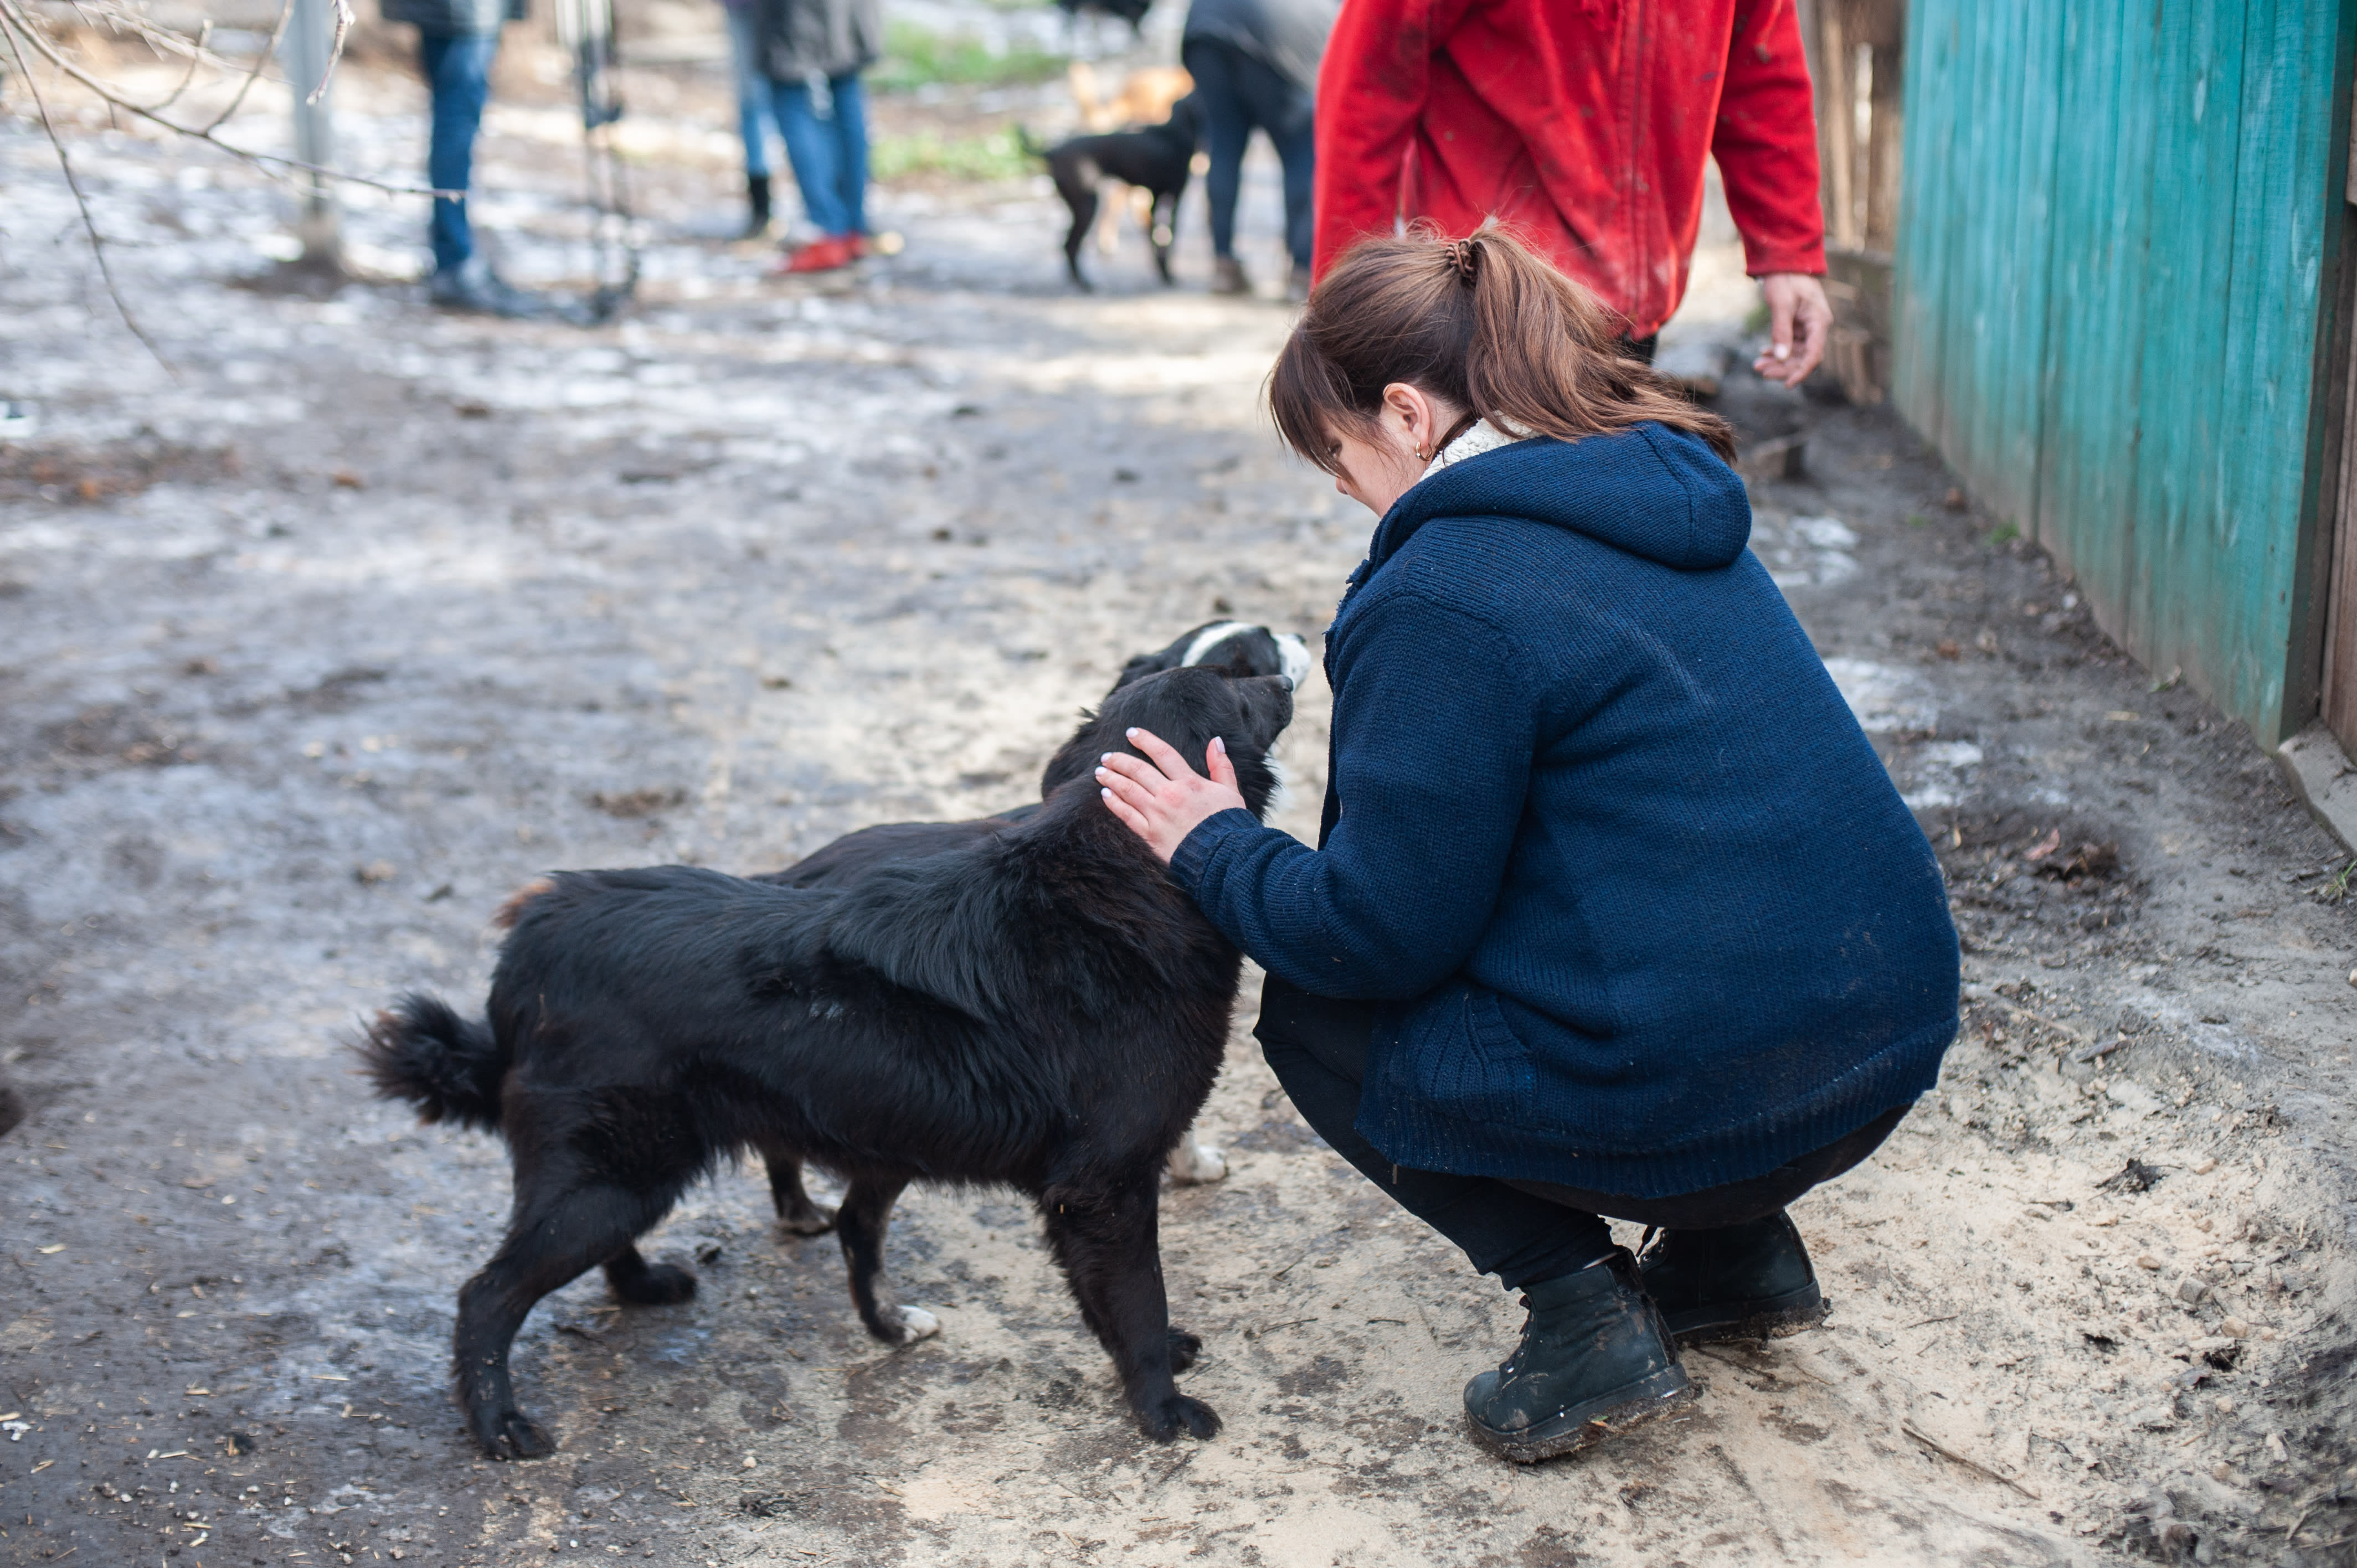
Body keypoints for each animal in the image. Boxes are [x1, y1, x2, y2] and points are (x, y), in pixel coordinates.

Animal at [363, 660, 1310, 1452]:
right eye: (1233, 693)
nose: (1287, 673)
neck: (1123, 871)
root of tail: (531, 941)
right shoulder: (1105, 1186)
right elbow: (1138, 1299)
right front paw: (1161, 1410)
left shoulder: (1082, 1191)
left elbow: (1112, 1301)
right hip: (616, 1172)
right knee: (487, 1297)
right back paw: (498, 1424)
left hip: (681, 1163)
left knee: (834, 1228)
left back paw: (670, 1293)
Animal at [1032, 96, 1207, 292]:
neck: (1175, 131)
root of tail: (1052, 152)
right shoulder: (1173, 200)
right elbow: (1167, 242)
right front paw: (1168, 276)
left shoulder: (1155, 201)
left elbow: (1154, 239)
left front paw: (1160, 271)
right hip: (1087, 206)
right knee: (1070, 245)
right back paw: (1085, 284)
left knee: (1067, 245)